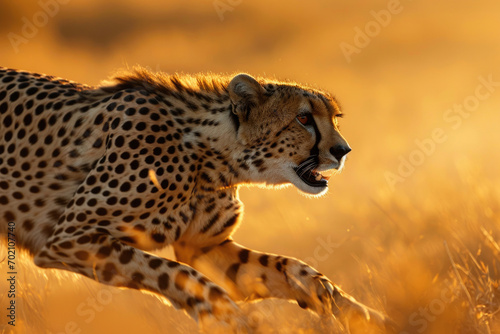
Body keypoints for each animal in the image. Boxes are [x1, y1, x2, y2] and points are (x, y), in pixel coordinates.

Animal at [0, 67, 388, 332]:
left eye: (334, 118)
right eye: (304, 118)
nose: (342, 151)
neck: (214, 155)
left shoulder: (205, 247)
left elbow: (293, 268)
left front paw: (362, 314)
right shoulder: (70, 238)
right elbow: (177, 274)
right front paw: (234, 320)